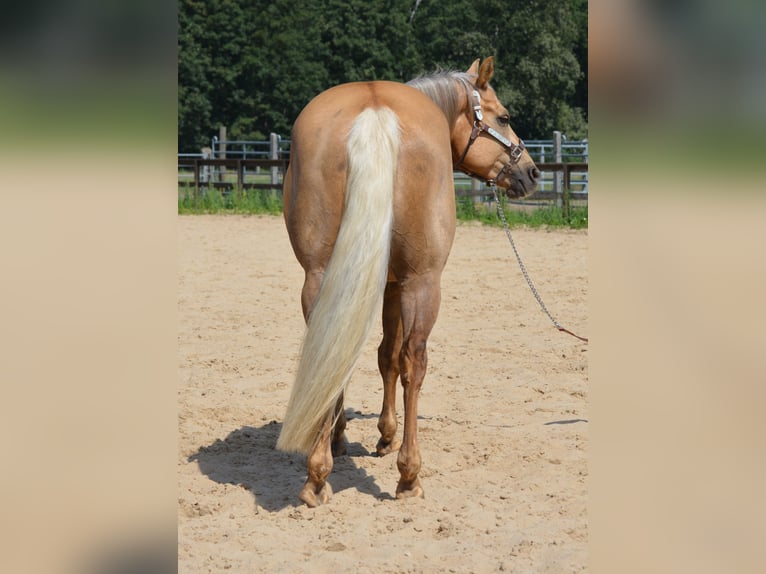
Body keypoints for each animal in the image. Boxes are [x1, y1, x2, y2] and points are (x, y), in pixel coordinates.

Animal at [278, 58, 540, 508]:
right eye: (504, 117)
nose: (532, 171)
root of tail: (374, 113)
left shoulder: (381, 282)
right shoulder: (396, 284)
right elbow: (391, 357)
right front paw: (384, 436)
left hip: (324, 278)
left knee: (333, 350)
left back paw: (317, 476)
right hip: (422, 281)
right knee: (414, 361)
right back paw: (408, 475)